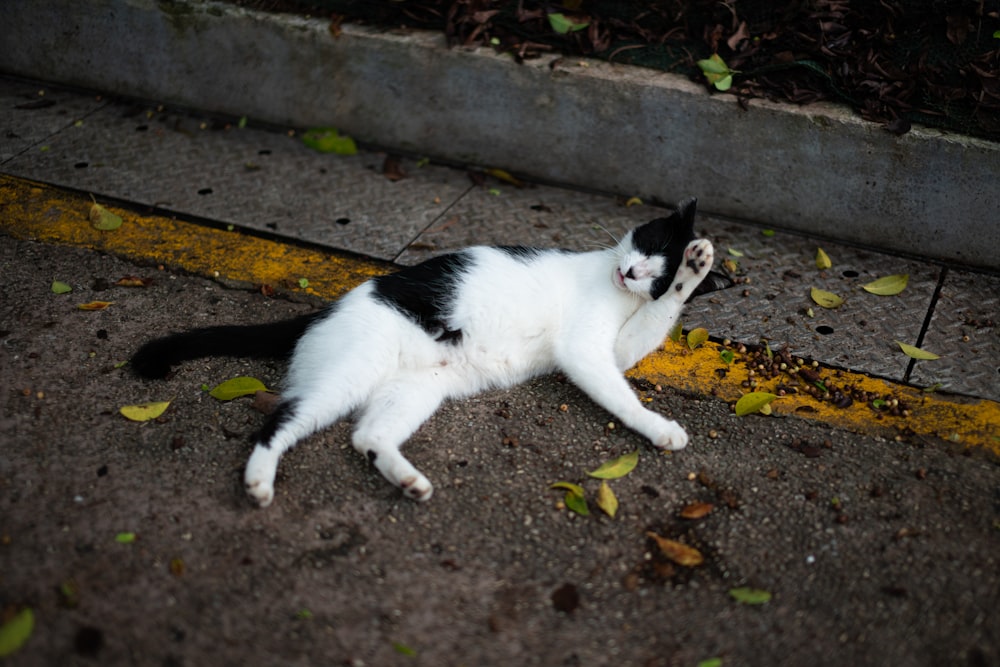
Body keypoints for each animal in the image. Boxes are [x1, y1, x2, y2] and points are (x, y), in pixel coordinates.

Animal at [135, 197, 728, 506]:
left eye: (655, 272)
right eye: (651, 244)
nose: (632, 272)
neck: (612, 284)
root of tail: (330, 308)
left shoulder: (620, 345)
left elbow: (651, 326)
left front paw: (693, 274)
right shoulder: (584, 351)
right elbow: (621, 395)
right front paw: (659, 428)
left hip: (416, 388)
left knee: (366, 437)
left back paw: (407, 479)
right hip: (349, 372)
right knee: (279, 419)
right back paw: (259, 482)